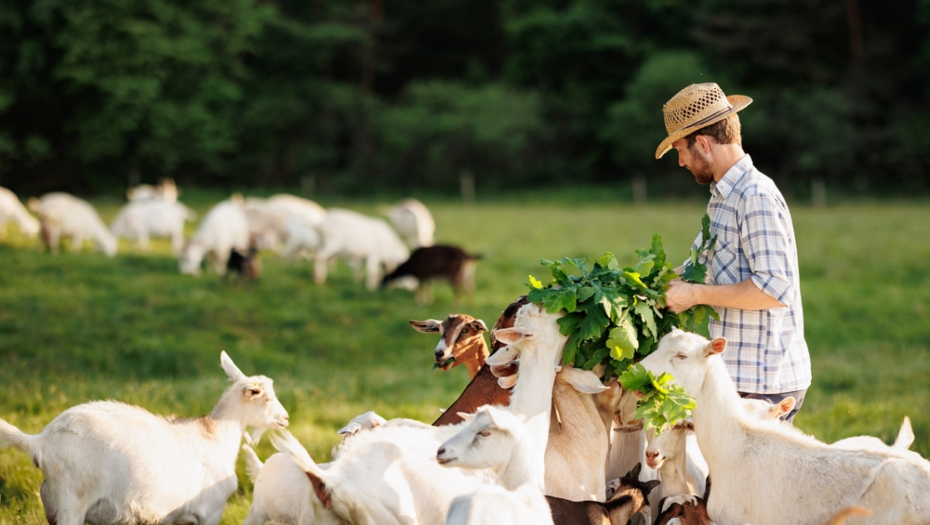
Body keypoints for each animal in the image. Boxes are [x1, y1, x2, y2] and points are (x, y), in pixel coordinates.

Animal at [0, 350, 288, 525]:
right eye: (267, 399)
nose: (285, 419)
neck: (214, 436)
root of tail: (42, 441)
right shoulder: (210, 512)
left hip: (52, 503)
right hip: (71, 500)